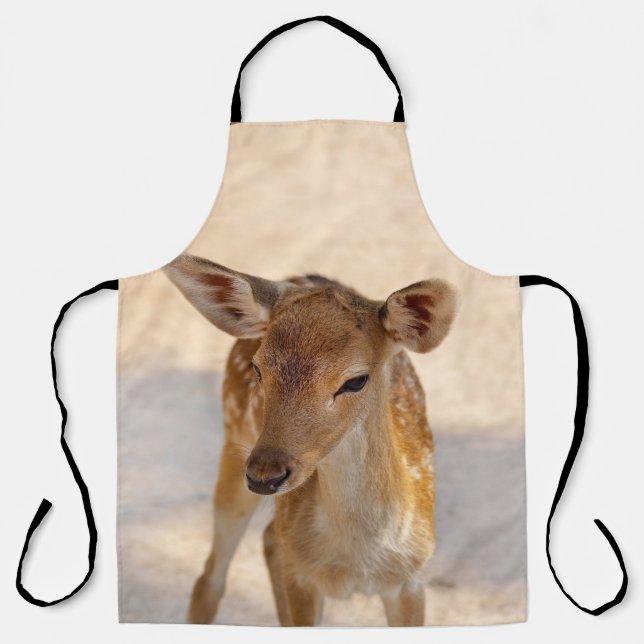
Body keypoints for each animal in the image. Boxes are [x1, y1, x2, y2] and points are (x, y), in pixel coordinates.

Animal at [163, 254, 458, 626]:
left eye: (356, 380)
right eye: (258, 369)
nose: (265, 475)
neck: (356, 561)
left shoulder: (411, 578)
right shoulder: (302, 577)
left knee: (269, 538)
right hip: (233, 441)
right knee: (210, 577)